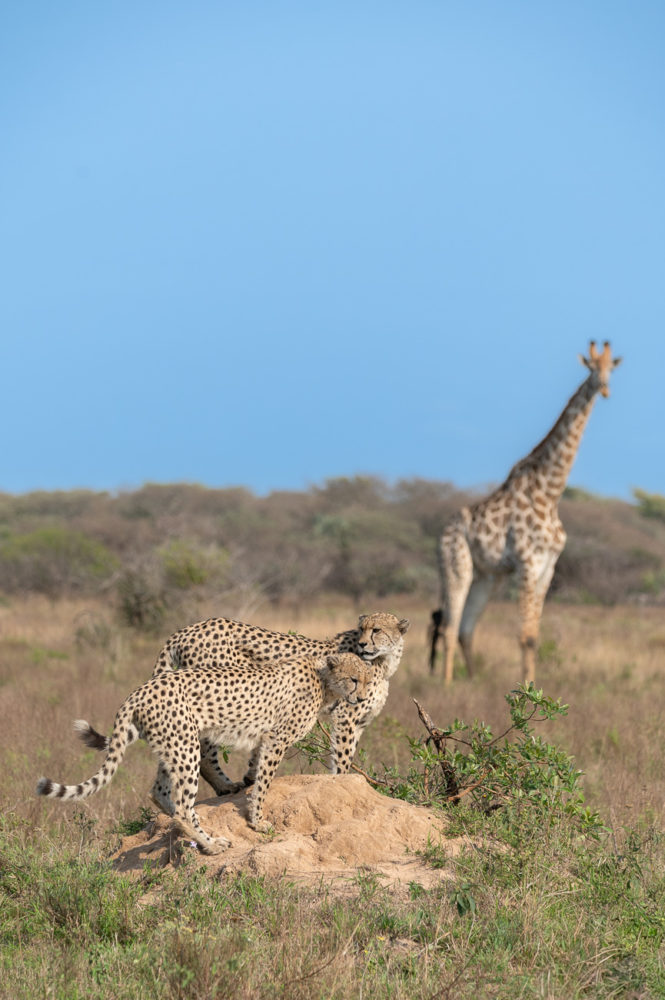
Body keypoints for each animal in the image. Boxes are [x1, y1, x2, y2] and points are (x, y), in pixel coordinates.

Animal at [36, 652, 372, 855]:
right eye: (354, 679)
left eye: (368, 680)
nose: (362, 697)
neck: (324, 679)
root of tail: (141, 689)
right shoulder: (277, 739)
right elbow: (263, 783)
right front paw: (258, 821)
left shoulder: (264, 739)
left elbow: (256, 773)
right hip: (186, 745)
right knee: (184, 807)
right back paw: (210, 844)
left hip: (174, 743)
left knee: (159, 792)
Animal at [429, 341, 621, 685]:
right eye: (591, 368)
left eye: (611, 368)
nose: (604, 388)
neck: (550, 491)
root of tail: (442, 532)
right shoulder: (527, 562)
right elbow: (525, 636)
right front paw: (526, 688)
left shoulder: (549, 566)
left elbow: (534, 635)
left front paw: (534, 687)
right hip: (456, 566)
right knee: (449, 626)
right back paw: (448, 685)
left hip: (487, 577)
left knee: (466, 628)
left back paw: (473, 681)